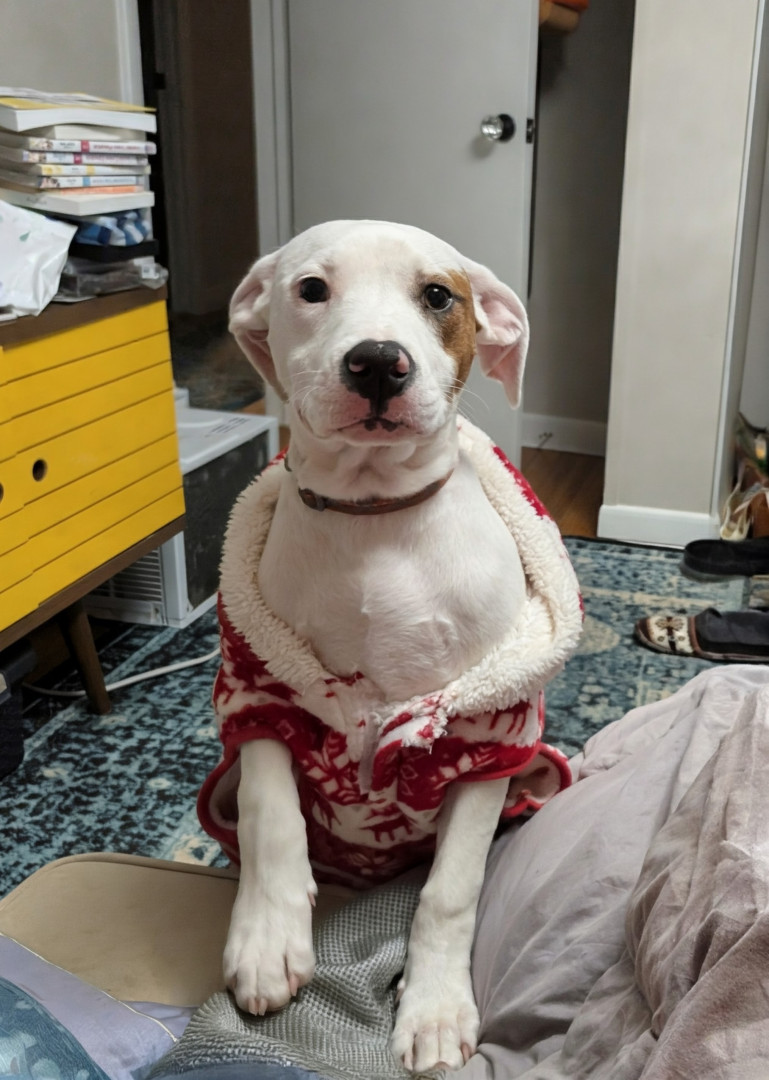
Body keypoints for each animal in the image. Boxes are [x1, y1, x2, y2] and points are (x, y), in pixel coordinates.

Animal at [198, 220, 582, 1073]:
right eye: (310, 289)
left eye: (438, 295)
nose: (377, 360)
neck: (373, 516)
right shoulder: (260, 688)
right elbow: (271, 810)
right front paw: (267, 938)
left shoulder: (485, 735)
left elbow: (451, 888)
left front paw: (434, 1009)